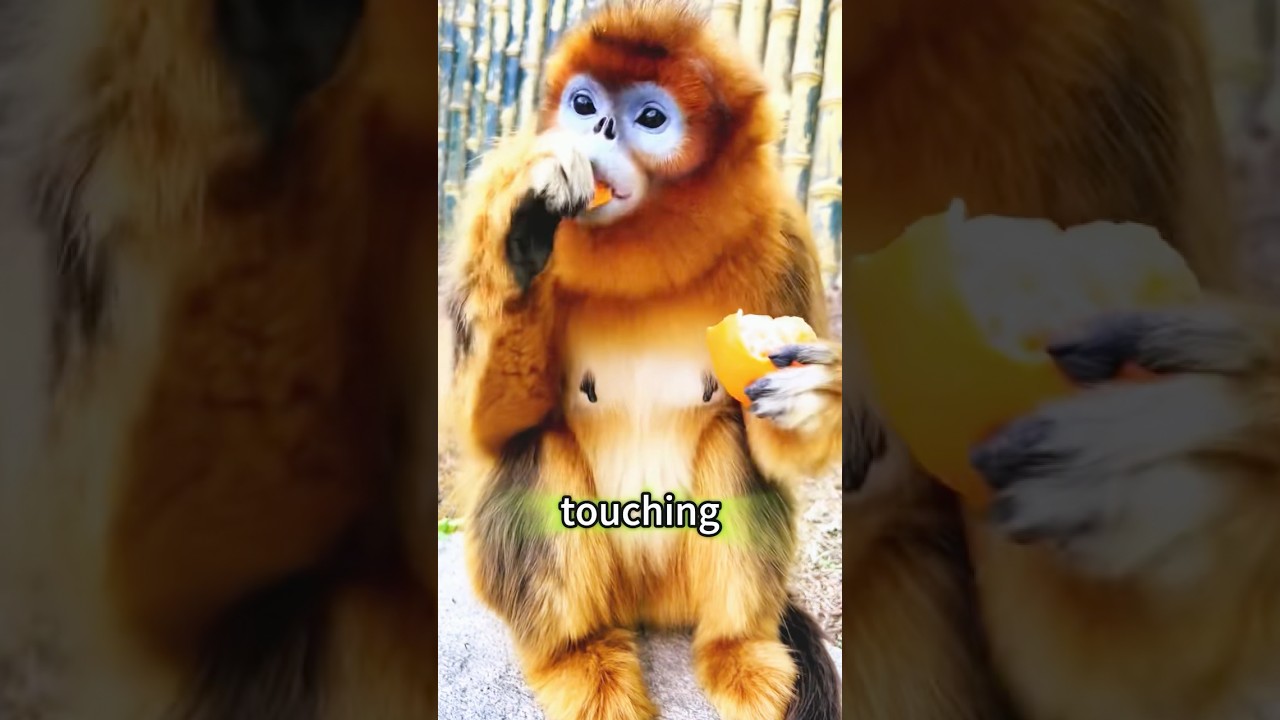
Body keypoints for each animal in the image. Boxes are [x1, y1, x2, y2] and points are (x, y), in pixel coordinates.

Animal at [437, 1, 843, 718]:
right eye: (583, 102)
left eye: (650, 118)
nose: (597, 127)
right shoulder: (489, 190)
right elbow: (492, 430)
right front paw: (526, 228)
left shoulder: (784, 237)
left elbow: (770, 450)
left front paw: (813, 395)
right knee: (537, 447)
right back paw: (580, 658)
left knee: (731, 443)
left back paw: (737, 651)